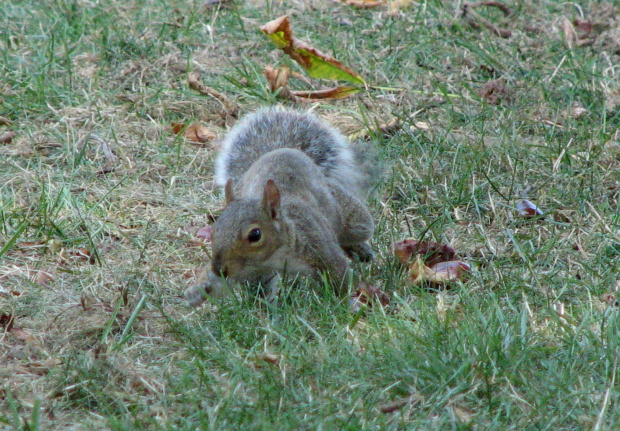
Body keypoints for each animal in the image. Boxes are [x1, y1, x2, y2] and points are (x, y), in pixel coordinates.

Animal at [184, 106, 376, 308]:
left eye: (255, 235)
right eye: (214, 230)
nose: (219, 268)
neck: (276, 256)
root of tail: (283, 151)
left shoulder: (322, 249)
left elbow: (339, 278)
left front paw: (343, 307)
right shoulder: (251, 271)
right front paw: (197, 291)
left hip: (351, 215)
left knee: (354, 230)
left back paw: (359, 249)